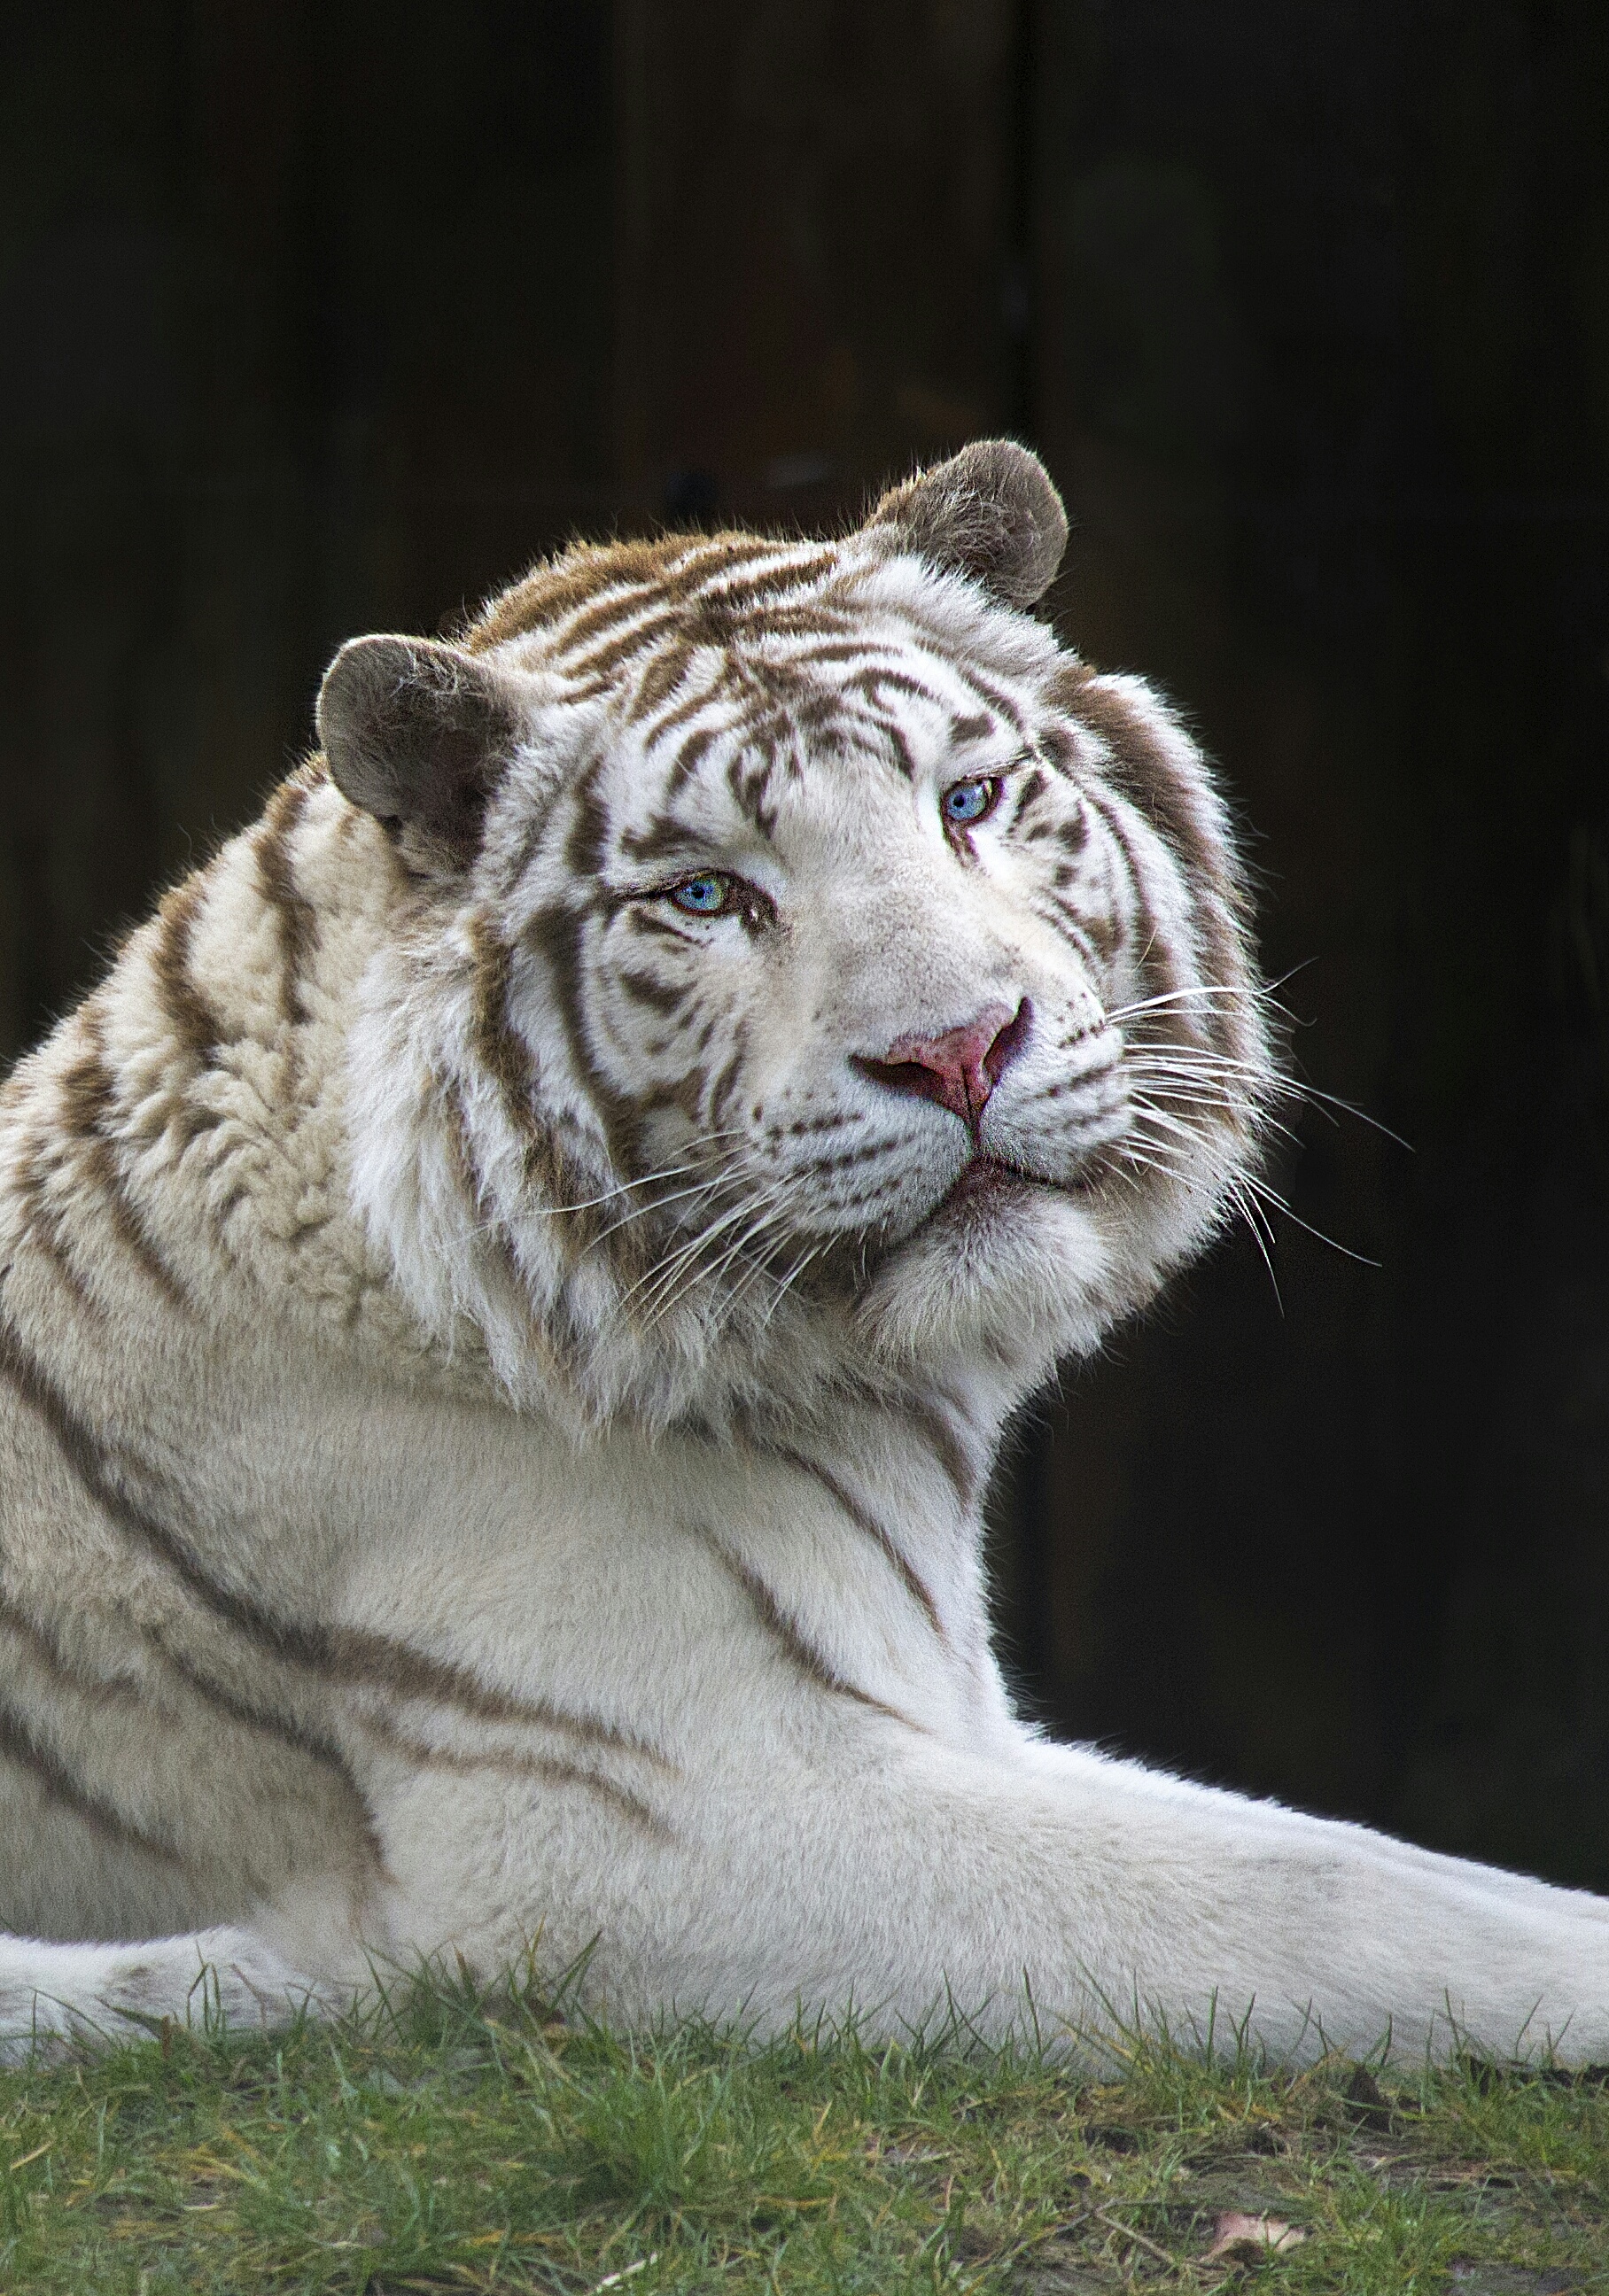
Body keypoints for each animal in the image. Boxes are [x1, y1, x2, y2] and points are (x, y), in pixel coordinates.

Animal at [2, 439, 1607, 2065]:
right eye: (705, 896)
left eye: (970, 799)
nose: (957, 1050)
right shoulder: (665, 1819)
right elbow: (1324, 1894)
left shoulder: (959, 1722)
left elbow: (1369, 1850)